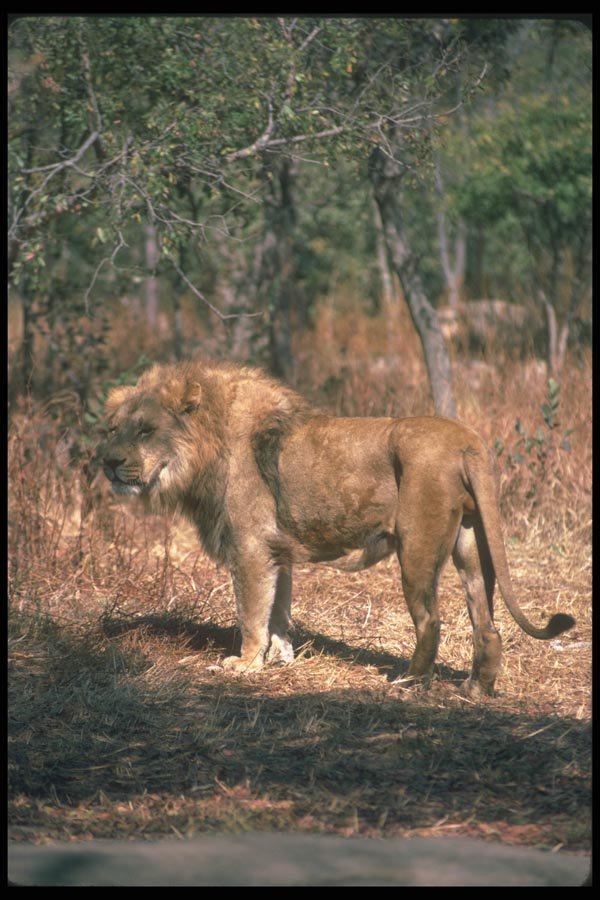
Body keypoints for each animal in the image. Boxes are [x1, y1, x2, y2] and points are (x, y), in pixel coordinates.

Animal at [100, 360, 574, 697]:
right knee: (486, 624)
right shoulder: (277, 551)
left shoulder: (250, 547)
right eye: (112, 429)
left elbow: (251, 612)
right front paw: (281, 658)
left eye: (146, 430)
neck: (205, 447)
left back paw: (408, 681)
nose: (108, 462)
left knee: (430, 620)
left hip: (418, 546)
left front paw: (245, 665)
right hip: (472, 546)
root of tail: (467, 441)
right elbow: (278, 610)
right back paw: (476, 689)